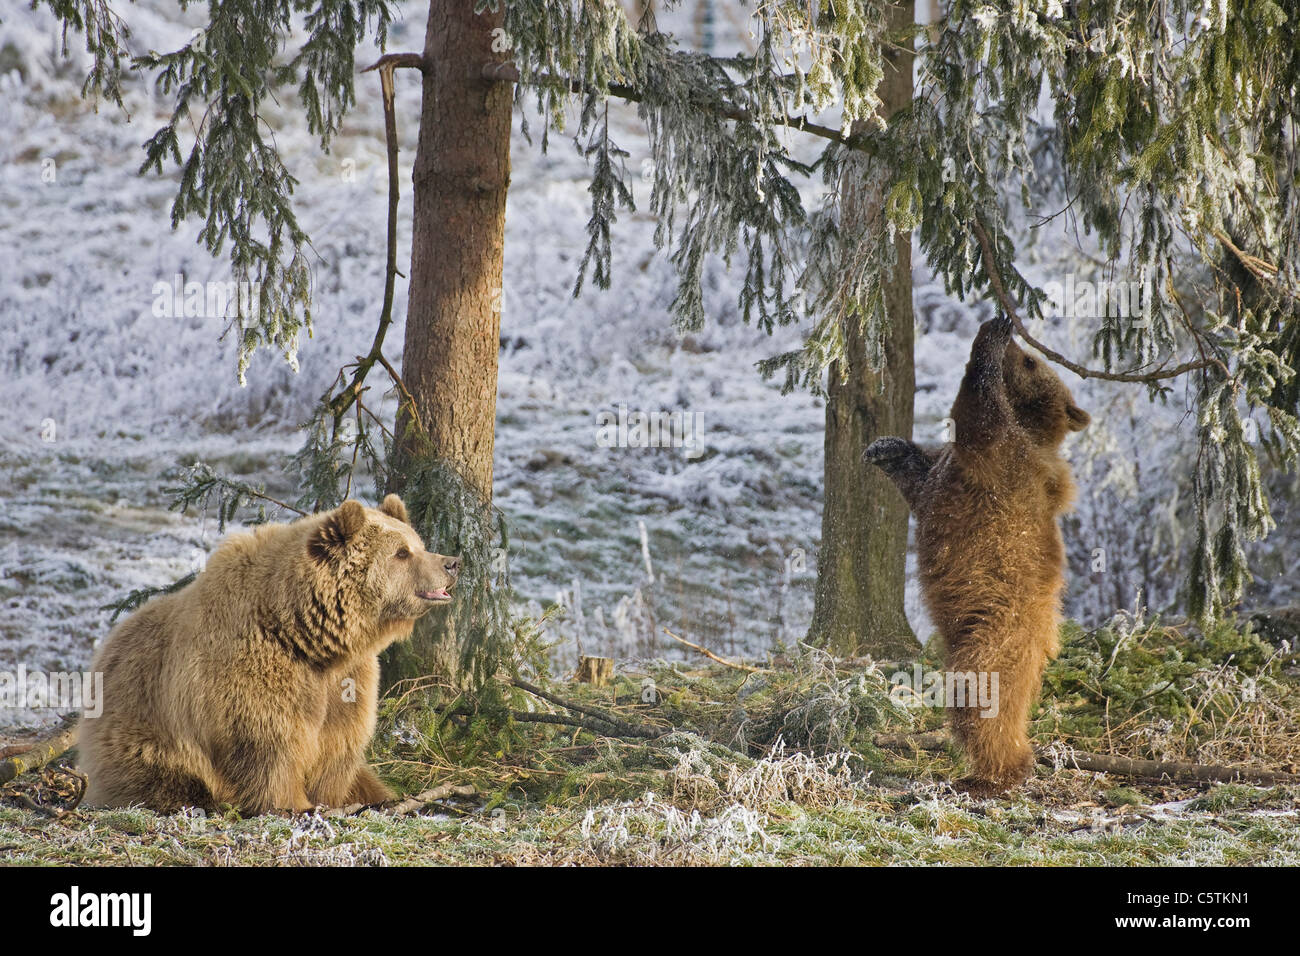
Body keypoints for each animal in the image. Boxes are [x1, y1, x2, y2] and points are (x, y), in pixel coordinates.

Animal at [77, 494, 460, 814]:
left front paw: (338, 799)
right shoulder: (254, 673)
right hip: (145, 724)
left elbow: (339, 746)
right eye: (401, 552)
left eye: (419, 544)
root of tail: (107, 648)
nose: (452, 562)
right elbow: (271, 744)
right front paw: (292, 804)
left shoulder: (347, 681)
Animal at [866, 313, 1089, 794]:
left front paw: (989, 337)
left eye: (1030, 360)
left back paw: (994, 772)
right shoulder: (961, 474)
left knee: (984, 697)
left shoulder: (1002, 461)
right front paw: (886, 448)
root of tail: (1045, 637)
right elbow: (922, 477)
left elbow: (976, 416)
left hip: (997, 630)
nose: (1017, 338)